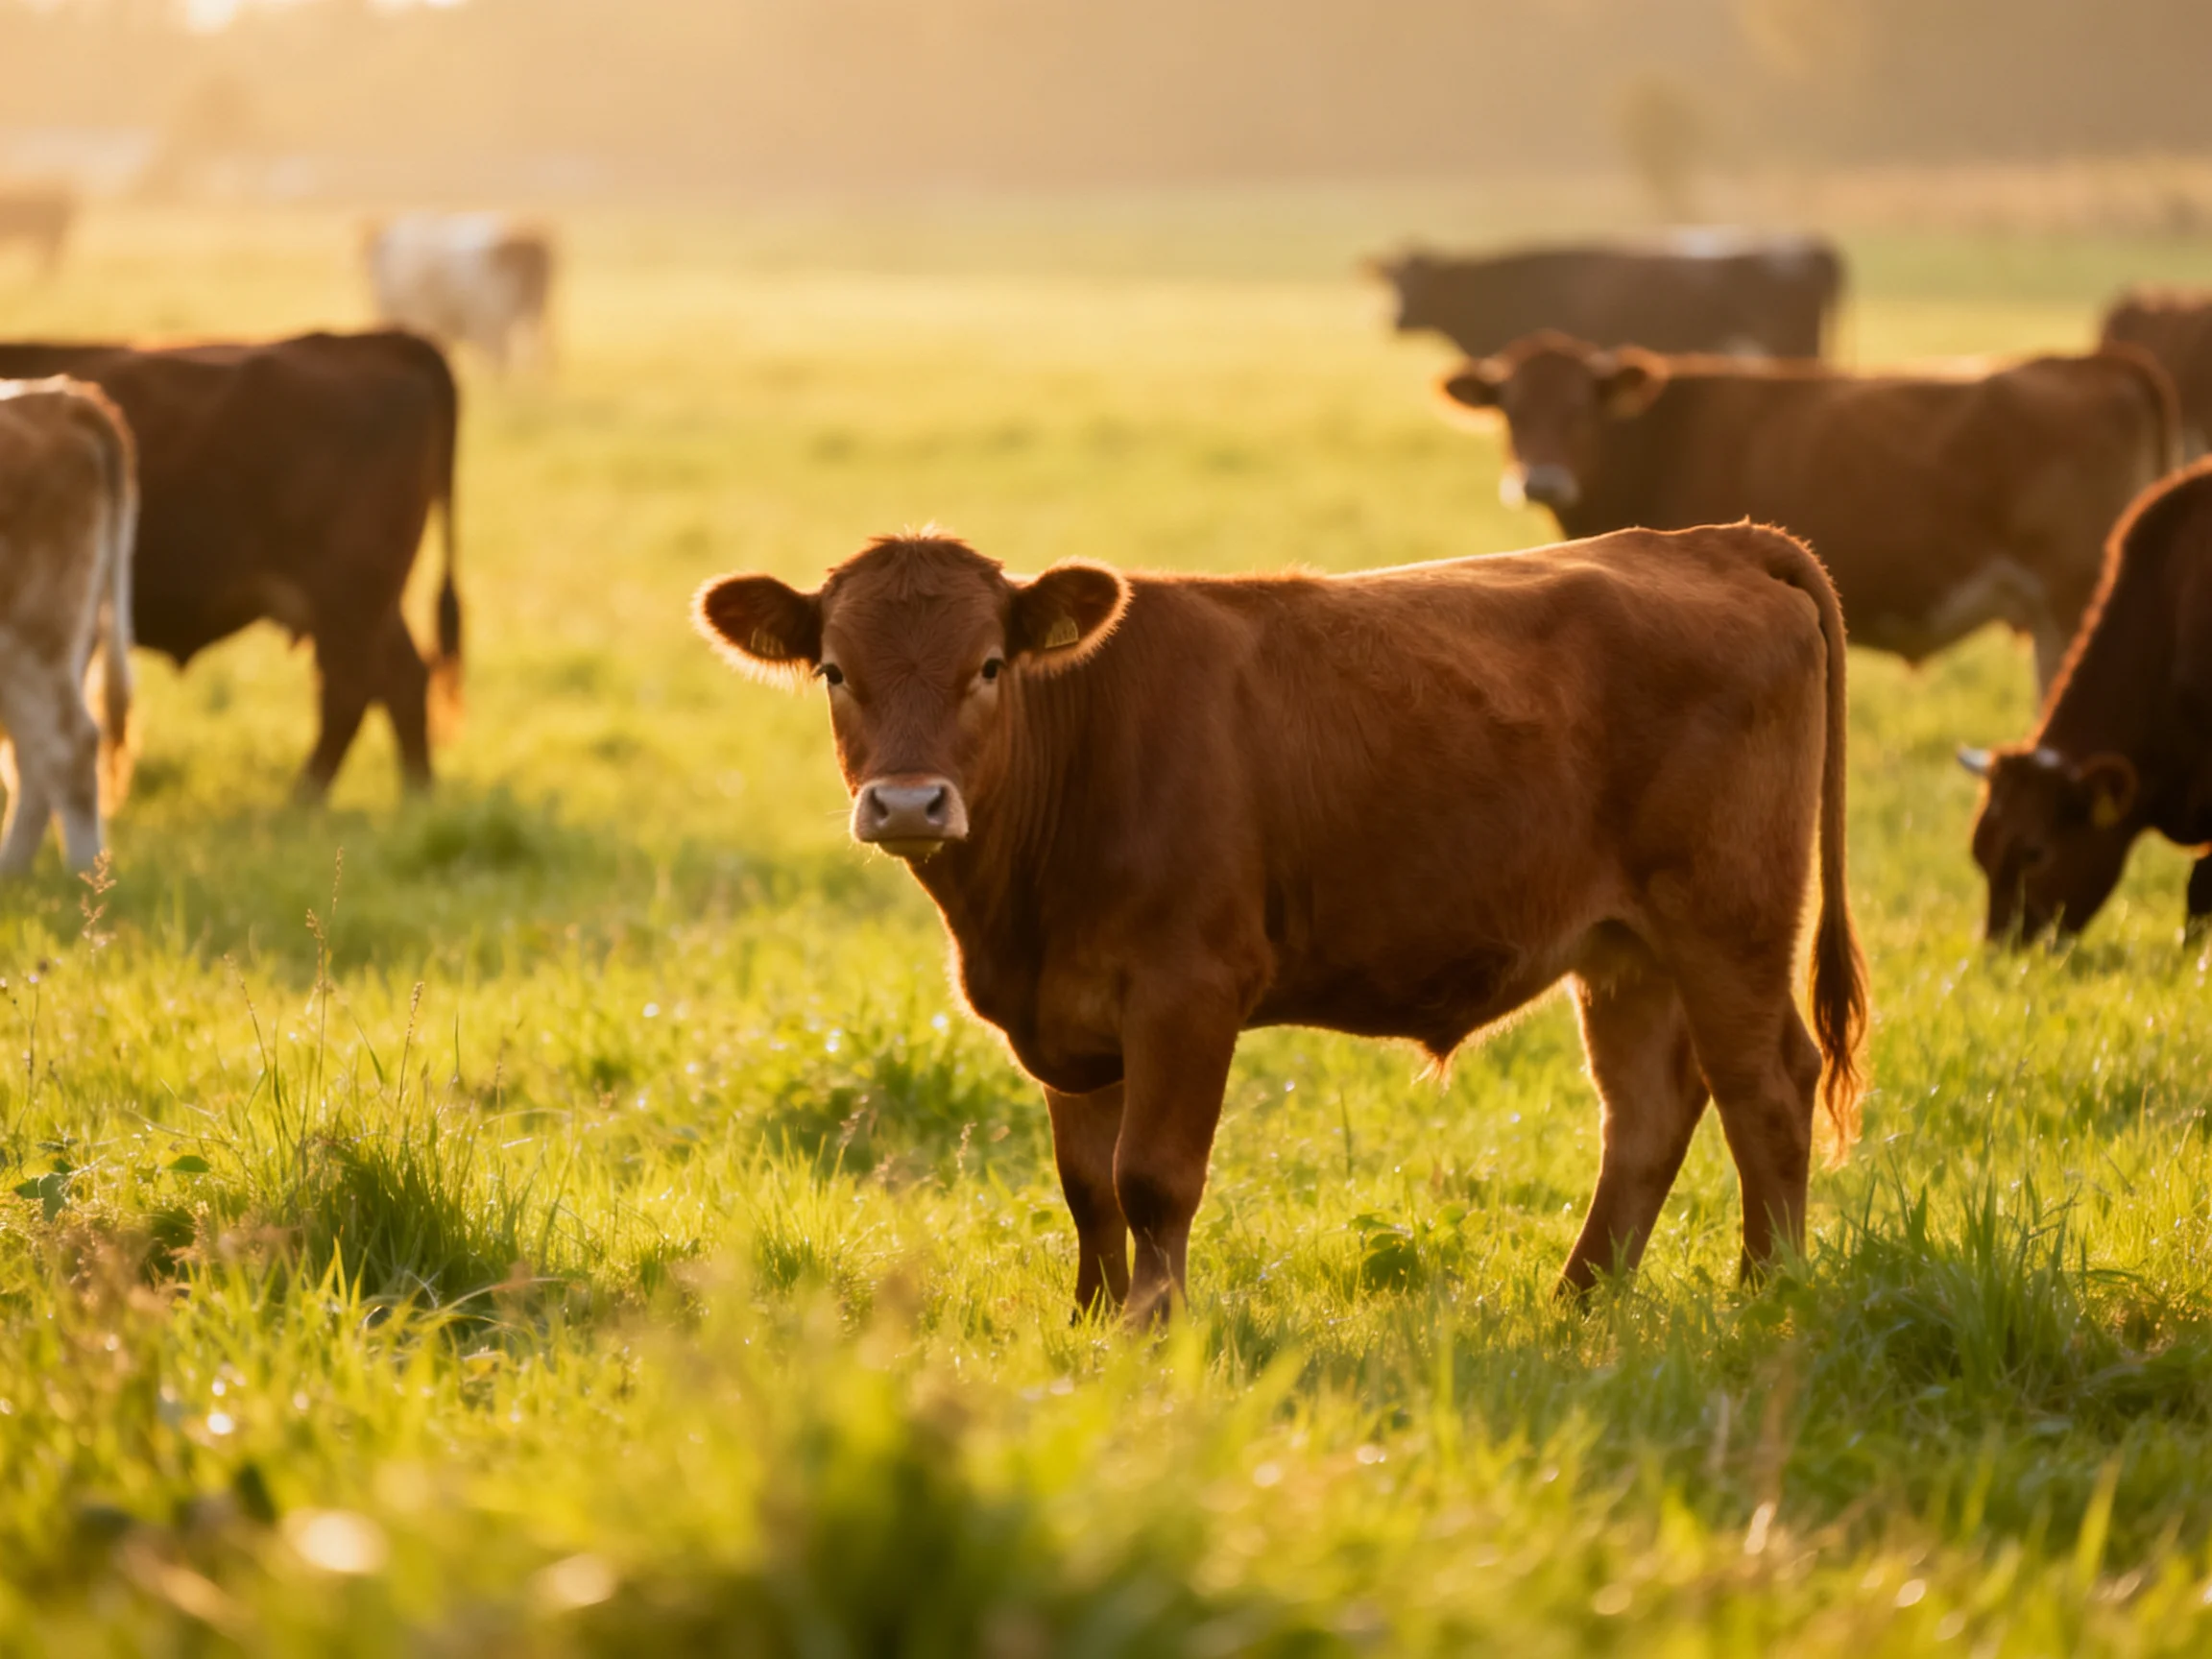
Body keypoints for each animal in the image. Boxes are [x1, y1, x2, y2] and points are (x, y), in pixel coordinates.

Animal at [0, 332, 461, 797]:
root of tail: (380, 342)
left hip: (349, 596)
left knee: (352, 690)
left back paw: (303, 799)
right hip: (369, 603)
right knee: (401, 680)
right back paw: (414, 792)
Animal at [693, 526, 1867, 1325]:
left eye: (987, 665)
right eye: (836, 671)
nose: (907, 804)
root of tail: (1705, 540)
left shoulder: (1188, 988)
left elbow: (1153, 1176)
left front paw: (1153, 1331)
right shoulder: (1067, 1016)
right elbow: (1087, 1187)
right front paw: (1087, 1322)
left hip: (1728, 919)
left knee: (1765, 1088)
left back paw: (1769, 1292)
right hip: (1626, 952)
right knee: (1647, 1112)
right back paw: (1578, 1301)